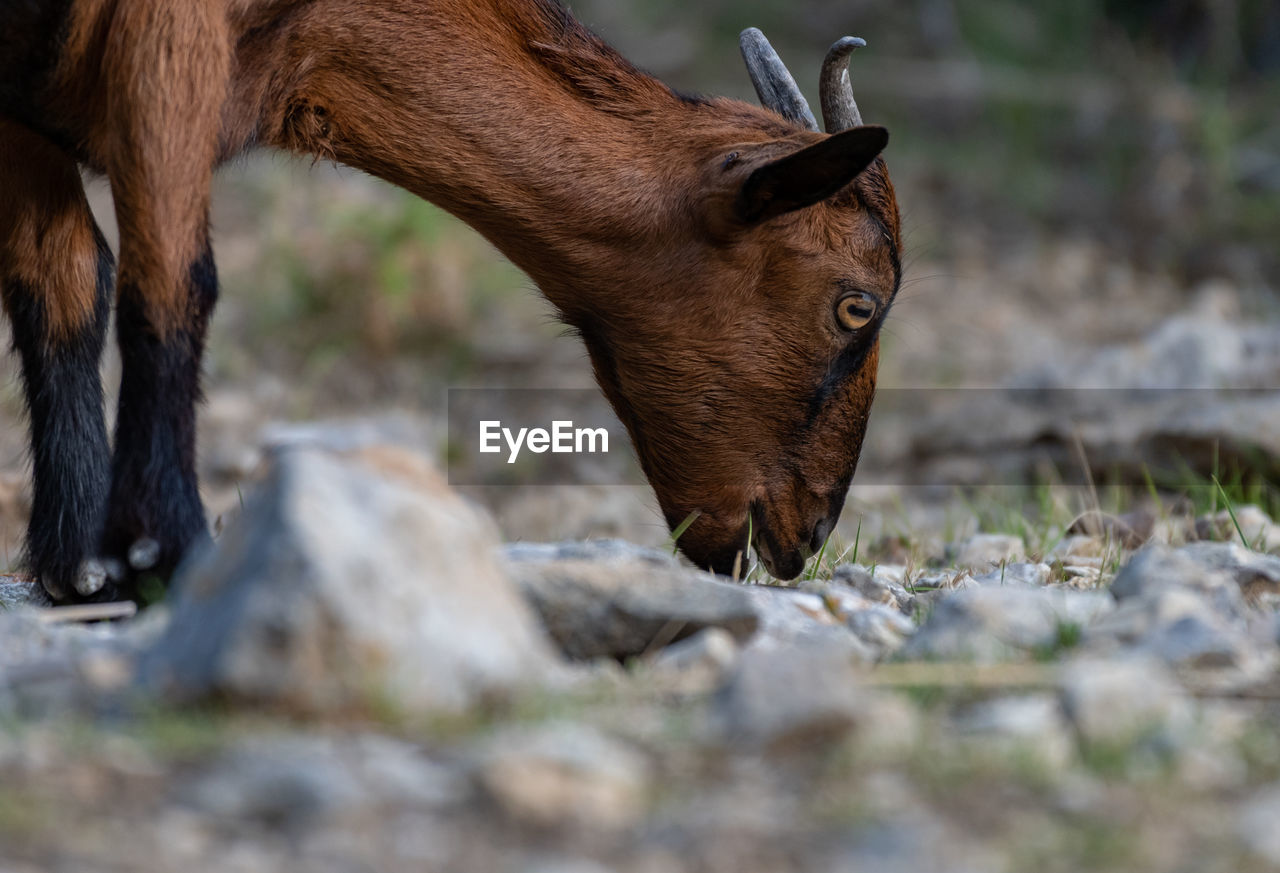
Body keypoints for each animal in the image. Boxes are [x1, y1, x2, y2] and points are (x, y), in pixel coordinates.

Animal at [0, 0, 901, 599]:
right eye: (856, 306)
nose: (808, 534)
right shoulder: (168, 38)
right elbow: (171, 280)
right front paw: (162, 553)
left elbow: (62, 280)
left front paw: (80, 564)